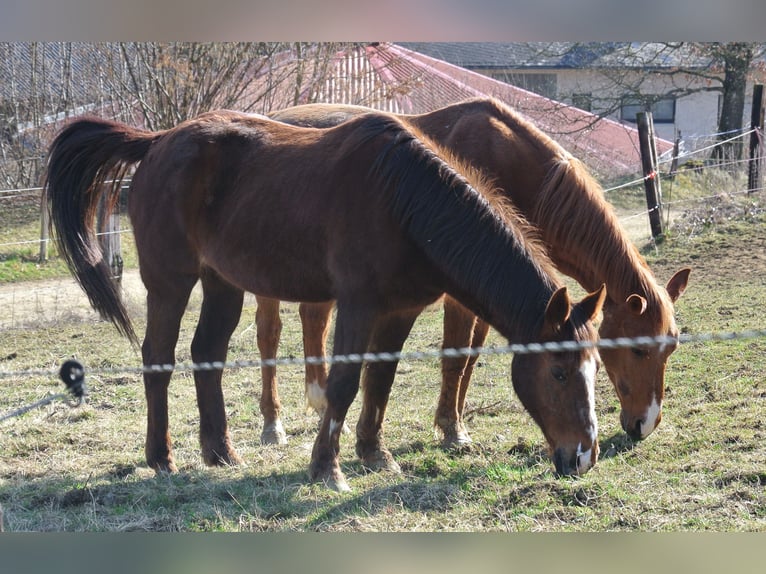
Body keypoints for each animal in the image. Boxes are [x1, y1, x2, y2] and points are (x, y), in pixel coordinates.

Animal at [45, 109, 608, 490]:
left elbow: (380, 379)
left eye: (594, 369)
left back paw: (221, 452)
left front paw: (374, 454)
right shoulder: (357, 306)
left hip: (222, 282)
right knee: (158, 359)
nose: (583, 457)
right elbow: (343, 383)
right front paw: (327, 468)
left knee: (207, 355)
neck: (405, 201)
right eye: (559, 372)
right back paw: (162, 458)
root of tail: (158, 142)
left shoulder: (400, 310)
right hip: (171, 281)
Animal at [268, 99, 692, 448]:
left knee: (312, 320)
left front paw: (454, 420)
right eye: (638, 350)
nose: (645, 424)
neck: (517, 169)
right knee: (269, 338)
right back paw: (273, 425)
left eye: (670, 349)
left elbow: (470, 357)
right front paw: (451, 430)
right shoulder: (461, 293)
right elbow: (454, 357)